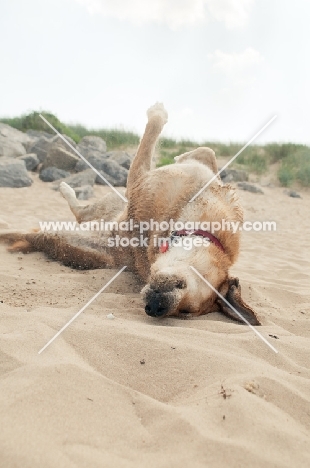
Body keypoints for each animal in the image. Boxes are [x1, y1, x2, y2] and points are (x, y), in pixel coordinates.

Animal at [1, 103, 260, 326]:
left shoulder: (138, 178)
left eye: (186, 311)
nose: (155, 308)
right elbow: (207, 152)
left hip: (73, 241)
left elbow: (149, 139)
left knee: (64, 223)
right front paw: (182, 152)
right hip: (110, 203)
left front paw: (157, 114)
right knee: (81, 213)